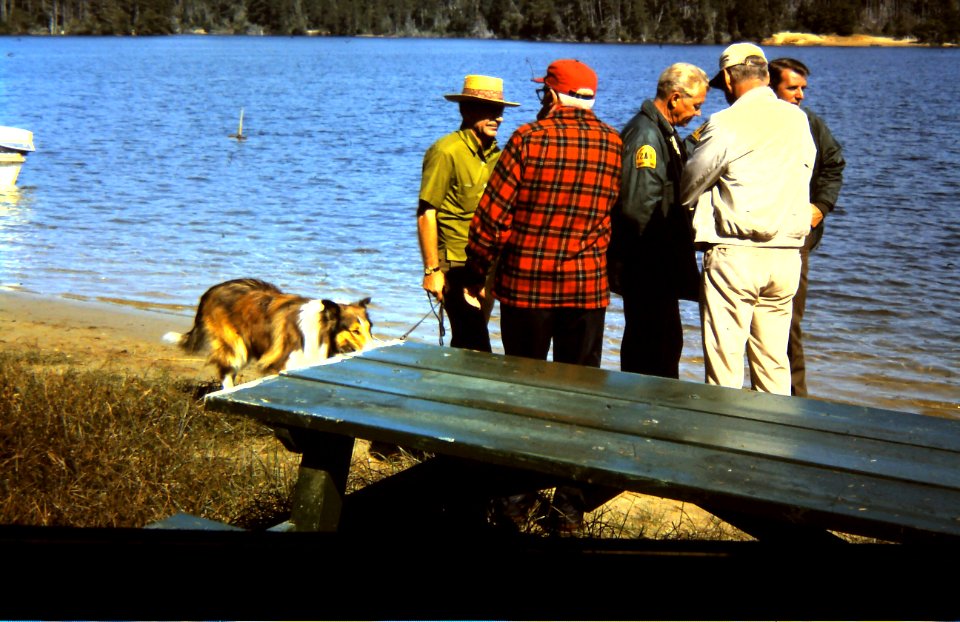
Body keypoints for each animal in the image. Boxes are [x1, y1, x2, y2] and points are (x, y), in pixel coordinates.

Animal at [163, 280, 374, 390]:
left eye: (370, 328)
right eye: (355, 331)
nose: (375, 347)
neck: (321, 330)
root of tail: (211, 290)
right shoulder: (282, 364)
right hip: (237, 348)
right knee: (225, 371)